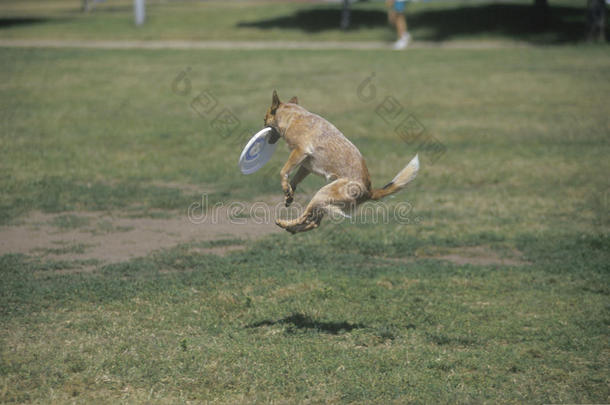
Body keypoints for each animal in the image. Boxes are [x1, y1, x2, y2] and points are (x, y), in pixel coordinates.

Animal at [262, 89, 418, 232]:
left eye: (264, 119)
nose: (262, 127)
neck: (293, 117)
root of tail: (369, 191)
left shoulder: (300, 151)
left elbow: (283, 171)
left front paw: (285, 186)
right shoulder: (306, 165)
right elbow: (294, 179)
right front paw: (289, 193)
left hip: (322, 194)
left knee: (308, 217)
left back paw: (285, 224)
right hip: (325, 201)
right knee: (314, 222)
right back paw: (292, 228)